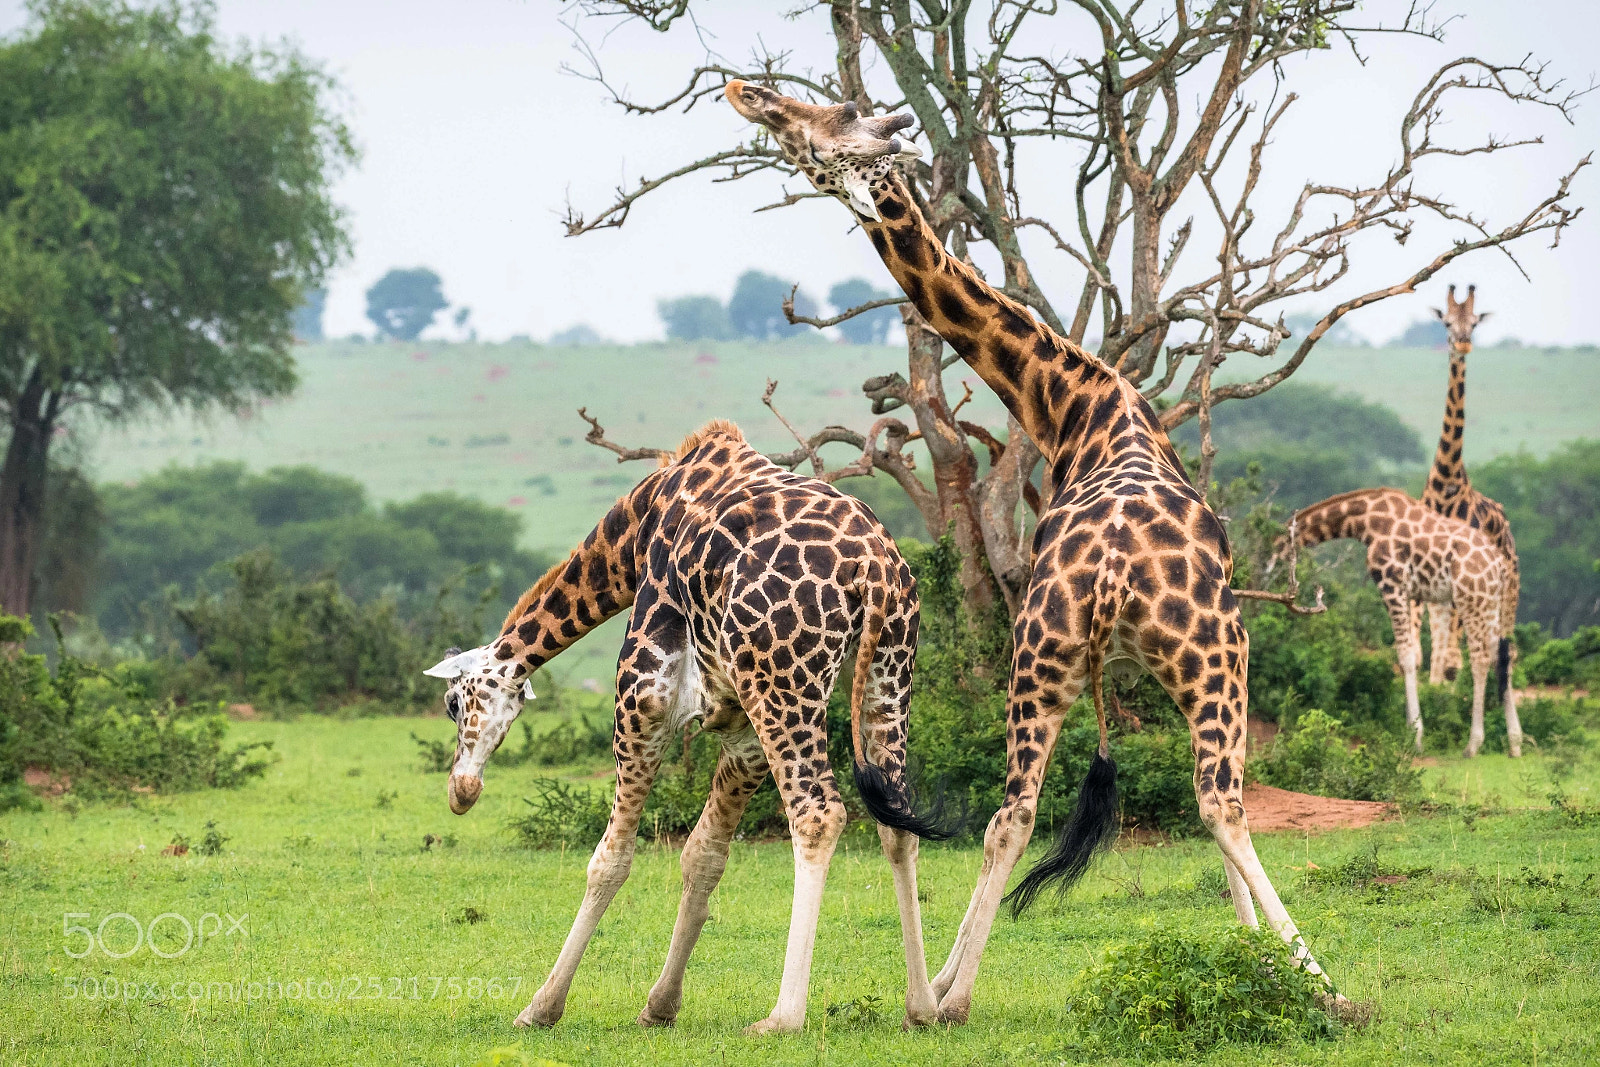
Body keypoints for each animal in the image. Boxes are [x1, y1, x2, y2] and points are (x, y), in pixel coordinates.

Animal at [423, 420, 951, 1034]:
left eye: (452, 704)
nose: (462, 792)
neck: (631, 536)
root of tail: (875, 572)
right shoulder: (742, 728)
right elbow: (703, 856)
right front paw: (660, 1004)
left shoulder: (643, 694)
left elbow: (610, 859)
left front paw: (541, 1006)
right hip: (888, 674)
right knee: (897, 821)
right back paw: (922, 1005)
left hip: (785, 683)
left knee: (818, 814)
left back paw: (783, 1016)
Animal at [723, 81, 1345, 1023]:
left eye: (826, 122)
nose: (747, 93)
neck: (1078, 404)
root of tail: (1116, 573)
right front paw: (1266, 959)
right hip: (1198, 654)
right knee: (1215, 803)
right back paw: (1327, 986)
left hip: (1062, 658)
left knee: (1018, 811)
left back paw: (948, 994)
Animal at [1277, 487, 1521, 756]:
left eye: (1277, 547)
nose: (1269, 568)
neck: (1366, 521)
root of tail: (1500, 566)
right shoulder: (1412, 594)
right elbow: (1411, 656)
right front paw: (1411, 728)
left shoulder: (1391, 585)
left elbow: (1405, 657)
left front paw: (1415, 737)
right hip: (1491, 602)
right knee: (1502, 656)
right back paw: (1515, 742)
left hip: (1471, 598)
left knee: (1480, 659)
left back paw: (1473, 744)